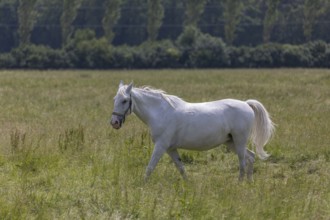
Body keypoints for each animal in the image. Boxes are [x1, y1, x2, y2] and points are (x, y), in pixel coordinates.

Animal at [109, 81, 274, 180]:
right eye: (114, 99)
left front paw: (142, 186)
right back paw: (249, 182)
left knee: (242, 162)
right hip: (231, 142)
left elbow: (150, 167)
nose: (114, 122)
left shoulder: (161, 146)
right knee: (251, 157)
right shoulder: (170, 148)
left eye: (125, 100)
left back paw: (240, 183)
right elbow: (181, 168)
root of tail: (246, 104)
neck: (161, 112)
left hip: (239, 141)